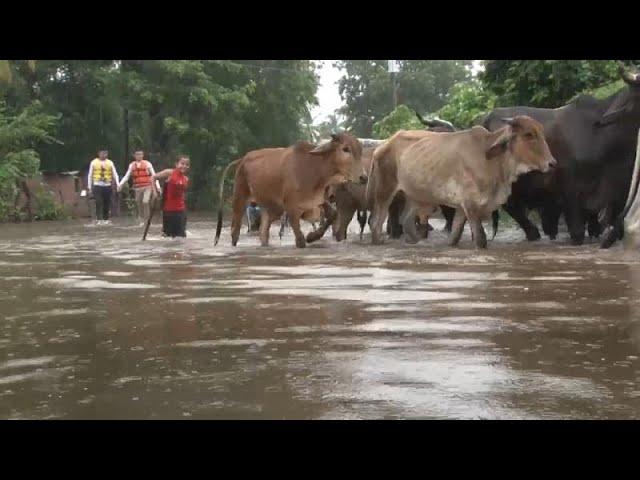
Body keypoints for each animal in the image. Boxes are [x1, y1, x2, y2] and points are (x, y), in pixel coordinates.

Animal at [215, 133, 364, 249]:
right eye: (345, 149)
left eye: (360, 150)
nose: (364, 177)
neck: (314, 168)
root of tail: (242, 159)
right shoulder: (291, 207)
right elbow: (300, 239)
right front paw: (307, 238)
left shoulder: (317, 200)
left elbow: (333, 214)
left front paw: (312, 236)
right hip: (239, 198)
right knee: (235, 231)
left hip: (272, 208)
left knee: (263, 232)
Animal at [368, 115, 556, 248]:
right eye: (528, 134)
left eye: (541, 133)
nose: (552, 163)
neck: (492, 160)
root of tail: (383, 145)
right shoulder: (470, 205)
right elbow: (480, 239)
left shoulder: (461, 207)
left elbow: (455, 237)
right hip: (384, 191)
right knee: (375, 222)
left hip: (417, 196)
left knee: (406, 221)